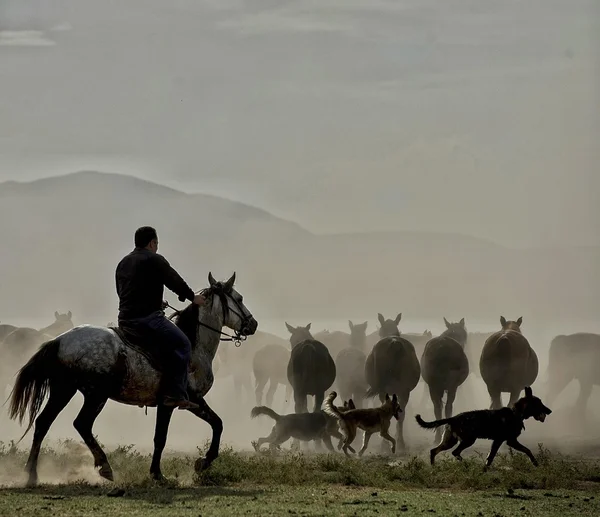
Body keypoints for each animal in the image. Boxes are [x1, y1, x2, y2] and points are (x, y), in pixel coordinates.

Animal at [8, 272, 258, 486]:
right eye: (239, 298)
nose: (253, 324)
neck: (194, 346)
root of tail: (60, 340)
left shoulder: (186, 403)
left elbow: (215, 424)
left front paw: (199, 463)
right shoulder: (179, 402)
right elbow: (166, 437)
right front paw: (163, 472)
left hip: (64, 390)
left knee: (43, 423)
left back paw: (32, 474)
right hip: (95, 395)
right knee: (81, 424)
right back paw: (104, 467)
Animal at [364, 312, 420, 450]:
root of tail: (394, 343)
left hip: (386, 391)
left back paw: (386, 443)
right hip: (404, 391)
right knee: (402, 414)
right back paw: (400, 442)